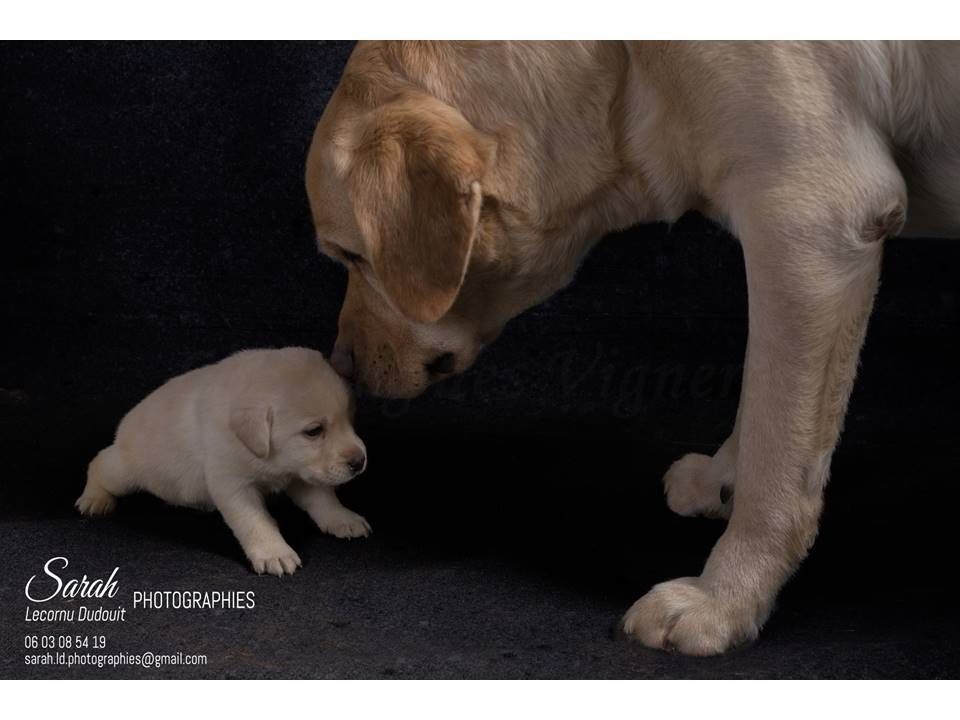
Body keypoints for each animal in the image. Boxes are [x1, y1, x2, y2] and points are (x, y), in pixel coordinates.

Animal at [77, 346, 370, 576]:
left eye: (350, 418)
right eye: (314, 431)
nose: (360, 461)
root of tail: (125, 423)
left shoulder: (300, 472)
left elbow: (323, 498)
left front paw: (342, 518)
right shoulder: (233, 484)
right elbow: (255, 520)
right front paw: (274, 551)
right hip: (126, 470)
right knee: (99, 463)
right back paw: (94, 498)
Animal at [306, 42, 960, 656]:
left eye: (352, 255)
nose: (340, 363)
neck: (621, 61)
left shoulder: (812, 227)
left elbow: (777, 459)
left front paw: (724, 600)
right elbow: (761, 401)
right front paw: (723, 477)